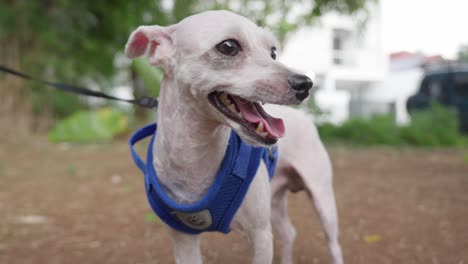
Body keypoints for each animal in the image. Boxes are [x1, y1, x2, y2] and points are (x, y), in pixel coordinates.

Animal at [124, 9, 344, 262]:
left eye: (272, 52)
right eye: (228, 46)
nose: (305, 83)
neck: (195, 160)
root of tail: (306, 119)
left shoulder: (261, 236)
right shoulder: (183, 240)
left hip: (322, 200)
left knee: (333, 245)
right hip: (274, 202)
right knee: (289, 232)